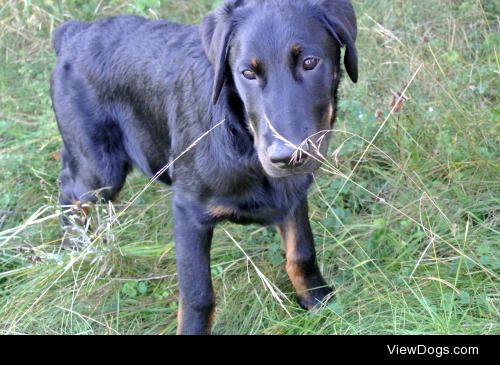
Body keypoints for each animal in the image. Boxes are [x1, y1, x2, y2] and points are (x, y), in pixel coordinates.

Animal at [50, 0, 358, 332]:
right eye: (247, 73)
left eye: (310, 62)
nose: (285, 157)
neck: (242, 139)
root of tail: (73, 33)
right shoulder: (189, 212)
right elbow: (198, 294)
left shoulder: (292, 193)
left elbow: (301, 252)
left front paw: (318, 300)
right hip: (100, 170)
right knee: (69, 190)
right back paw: (78, 248)